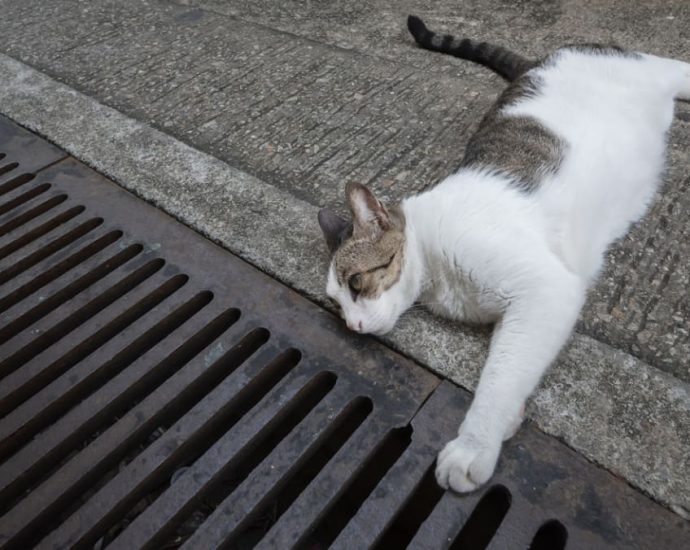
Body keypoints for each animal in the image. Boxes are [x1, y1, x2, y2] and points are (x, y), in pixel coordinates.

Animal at [318, 15, 688, 494]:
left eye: (357, 283)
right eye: (335, 303)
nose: (352, 325)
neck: (436, 275)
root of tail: (539, 60)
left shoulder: (545, 290)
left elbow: (500, 375)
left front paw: (475, 444)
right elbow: (513, 365)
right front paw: (511, 416)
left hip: (655, 70)